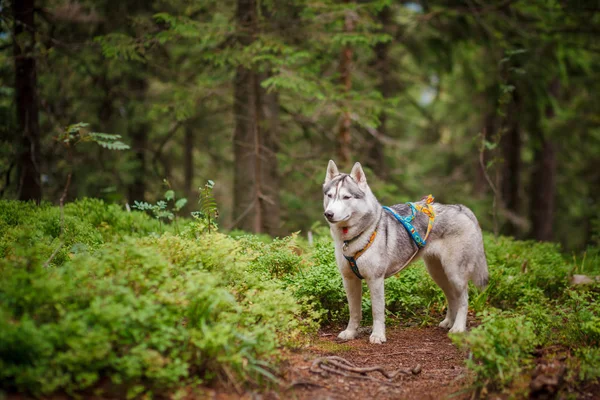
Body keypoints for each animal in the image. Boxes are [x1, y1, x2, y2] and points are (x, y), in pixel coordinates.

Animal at [324, 159, 488, 344]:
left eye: (346, 197)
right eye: (329, 195)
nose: (328, 214)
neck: (355, 237)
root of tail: (461, 208)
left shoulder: (375, 279)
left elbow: (377, 312)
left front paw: (378, 335)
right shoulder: (349, 280)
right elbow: (354, 311)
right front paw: (350, 332)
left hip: (455, 274)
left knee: (464, 299)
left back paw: (458, 328)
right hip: (438, 273)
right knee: (452, 296)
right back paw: (448, 322)